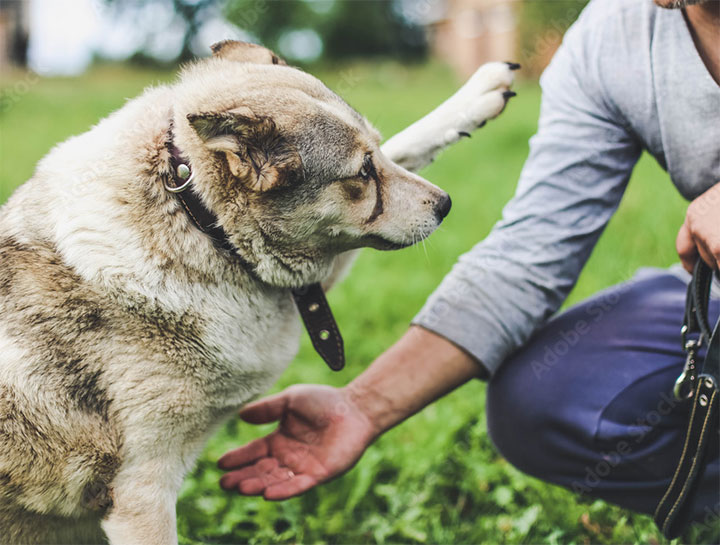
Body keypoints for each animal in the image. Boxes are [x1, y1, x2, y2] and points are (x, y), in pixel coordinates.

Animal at [0, 40, 516, 540]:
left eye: (376, 156)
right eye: (362, 174)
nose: (445, 205)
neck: (200, 221)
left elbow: (409, 144)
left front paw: (478, 96)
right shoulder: (143, 492)